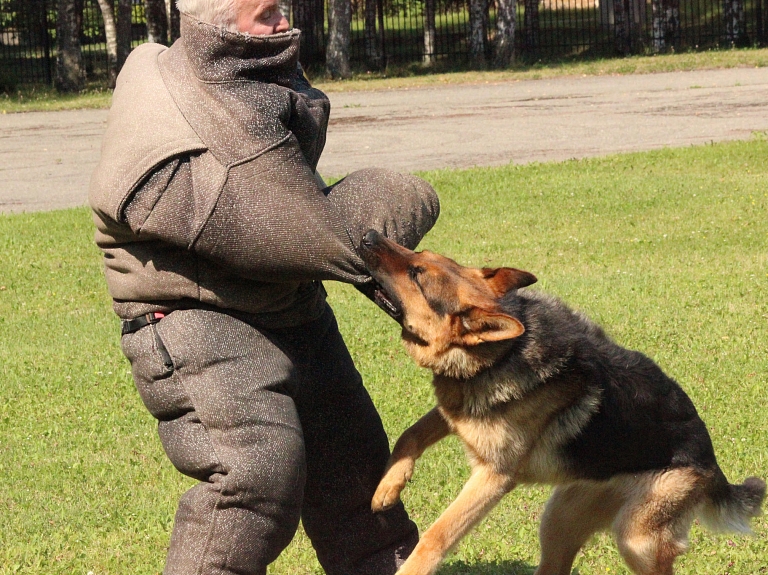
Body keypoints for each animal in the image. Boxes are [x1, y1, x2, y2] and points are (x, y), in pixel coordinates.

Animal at [362, 230, 768, 575]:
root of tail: (711, 464)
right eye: (419, 254)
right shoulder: (456, 410)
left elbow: (436, 536)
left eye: (416, 274)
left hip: (636, 541)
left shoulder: (493, 477)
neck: (504, 351)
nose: (367, 236)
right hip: (559, 520)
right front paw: (388, 486)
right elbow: (411, 434)